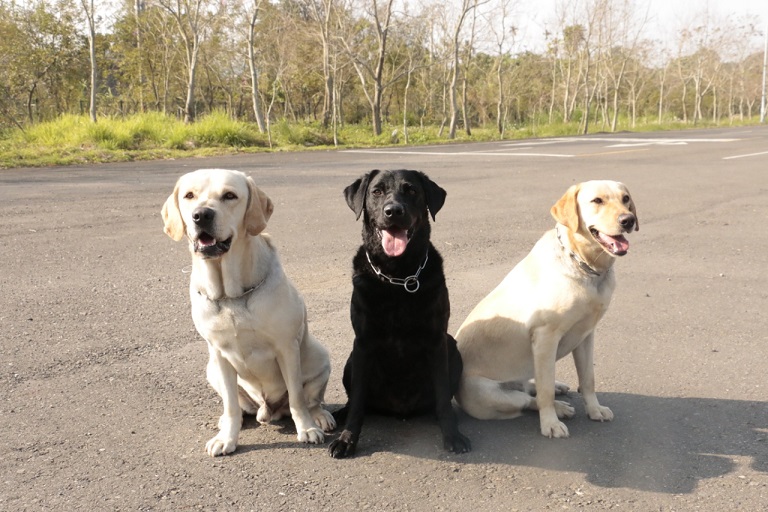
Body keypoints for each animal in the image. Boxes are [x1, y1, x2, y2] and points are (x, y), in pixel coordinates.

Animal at [164, 169, 334, 456]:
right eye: (189, 196)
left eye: (229, 195)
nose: (201, 215)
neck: (230, 295)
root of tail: (269, 410)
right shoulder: (218, 353)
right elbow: (231, 405)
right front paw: (227, 438)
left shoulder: (286, 348)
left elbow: (297, 399)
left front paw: (307, 429)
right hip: (211, 369)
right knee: (237, 406)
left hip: (320, 356)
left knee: (311, 399)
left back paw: (320, 416)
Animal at [328, 169, 468, 460]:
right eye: (377, 191)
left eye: (412, 190)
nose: (393, 211)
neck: (398, 277)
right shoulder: (363, 343)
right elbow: (358, 401)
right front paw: (347, 440)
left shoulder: (437, 341)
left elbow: (443, 397)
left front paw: (452, 434)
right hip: (351, 359)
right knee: (357, 400)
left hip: (452, 346)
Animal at [452, 180, 640, 436]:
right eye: (597, 201)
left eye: (625, 199)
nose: (628, 220)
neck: (584, 266)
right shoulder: (545, 337)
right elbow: (545, 393)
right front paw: (550, 423)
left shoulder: (586, 335)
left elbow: (588, 379)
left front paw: (594, 410)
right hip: (491, 393)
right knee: (528, 398)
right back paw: (559, 407)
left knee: (532, 386)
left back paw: (558, 388)